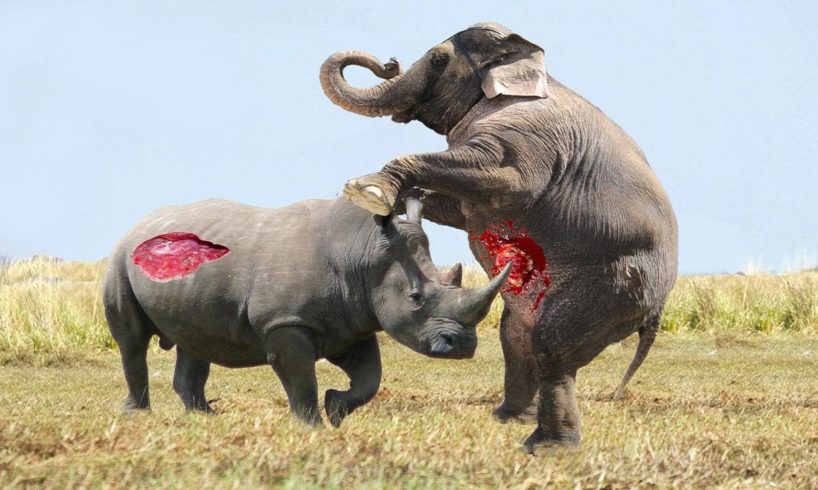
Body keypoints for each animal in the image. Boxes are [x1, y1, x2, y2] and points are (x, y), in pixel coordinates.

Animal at [103, 196, 510, 426]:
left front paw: (335, 409)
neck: (362, 254)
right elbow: (300, 378)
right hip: (119, 260)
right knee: (132, 342)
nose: (463, 346)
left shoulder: (352, 321)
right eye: (415, 298)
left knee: (195, 339)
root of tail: (139, 224)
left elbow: (370, 378)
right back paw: (138, 416)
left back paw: (205, 418)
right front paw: (311, 426)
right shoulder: (286, 323)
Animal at [320, 22, 678, 451]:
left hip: (617, 284)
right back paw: (509, 419)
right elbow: (459, 209)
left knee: (552, 344)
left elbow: (507, 180)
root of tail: (657, 311)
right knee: (517, 337)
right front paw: (395, 203)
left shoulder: (528, 135)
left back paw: (547, 447)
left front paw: (368, 190)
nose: (388, 62)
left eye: (438, 60)